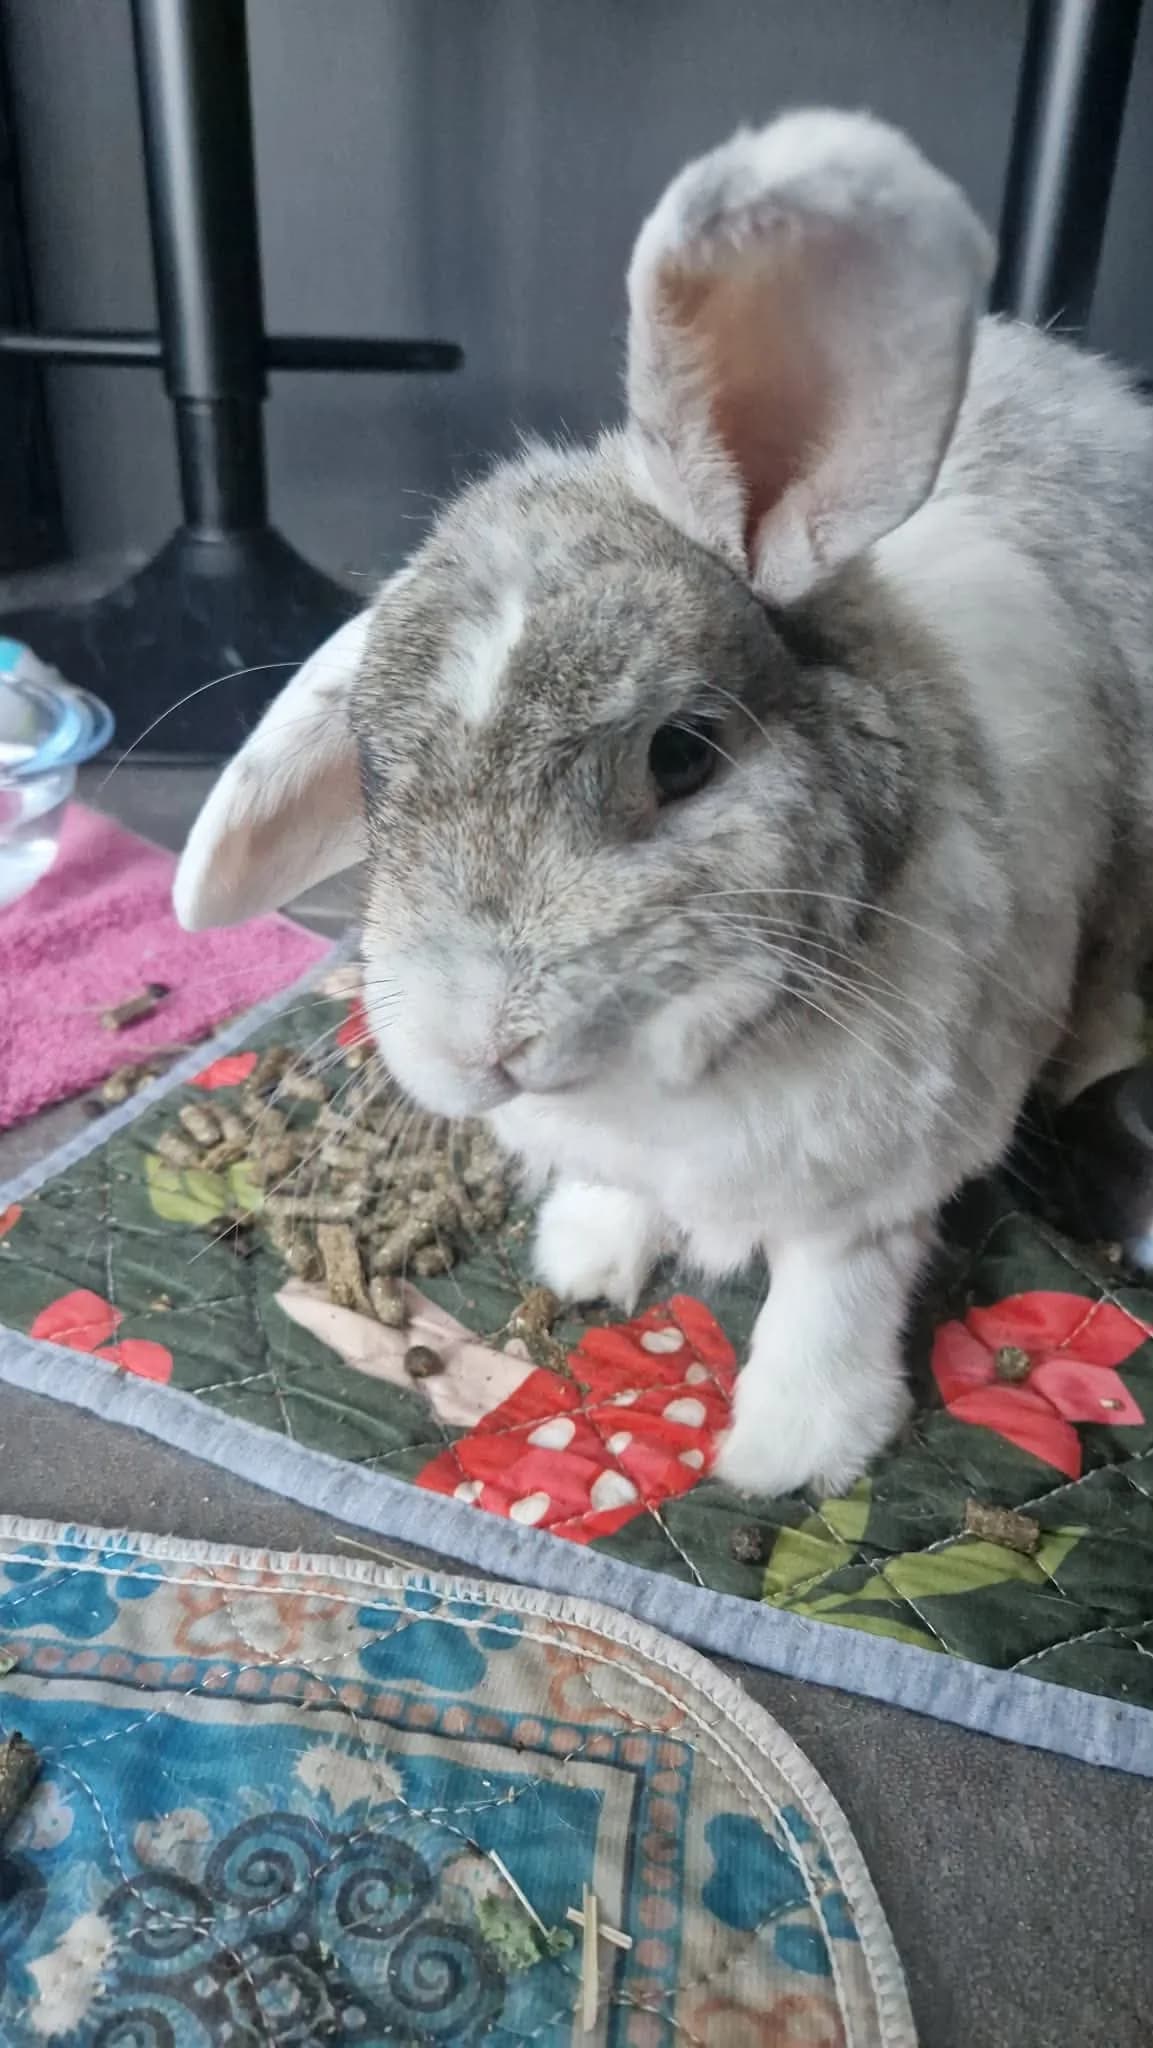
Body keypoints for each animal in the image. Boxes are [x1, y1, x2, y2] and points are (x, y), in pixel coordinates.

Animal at [174, 108, 1153, 1498]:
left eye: (682, 753)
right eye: (371, 776)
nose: (477, 1048)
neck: (658, 1078)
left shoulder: (882, 1175)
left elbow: (832, 1286)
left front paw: (796, 1445)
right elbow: (619, 1199)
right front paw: (586, 1257)